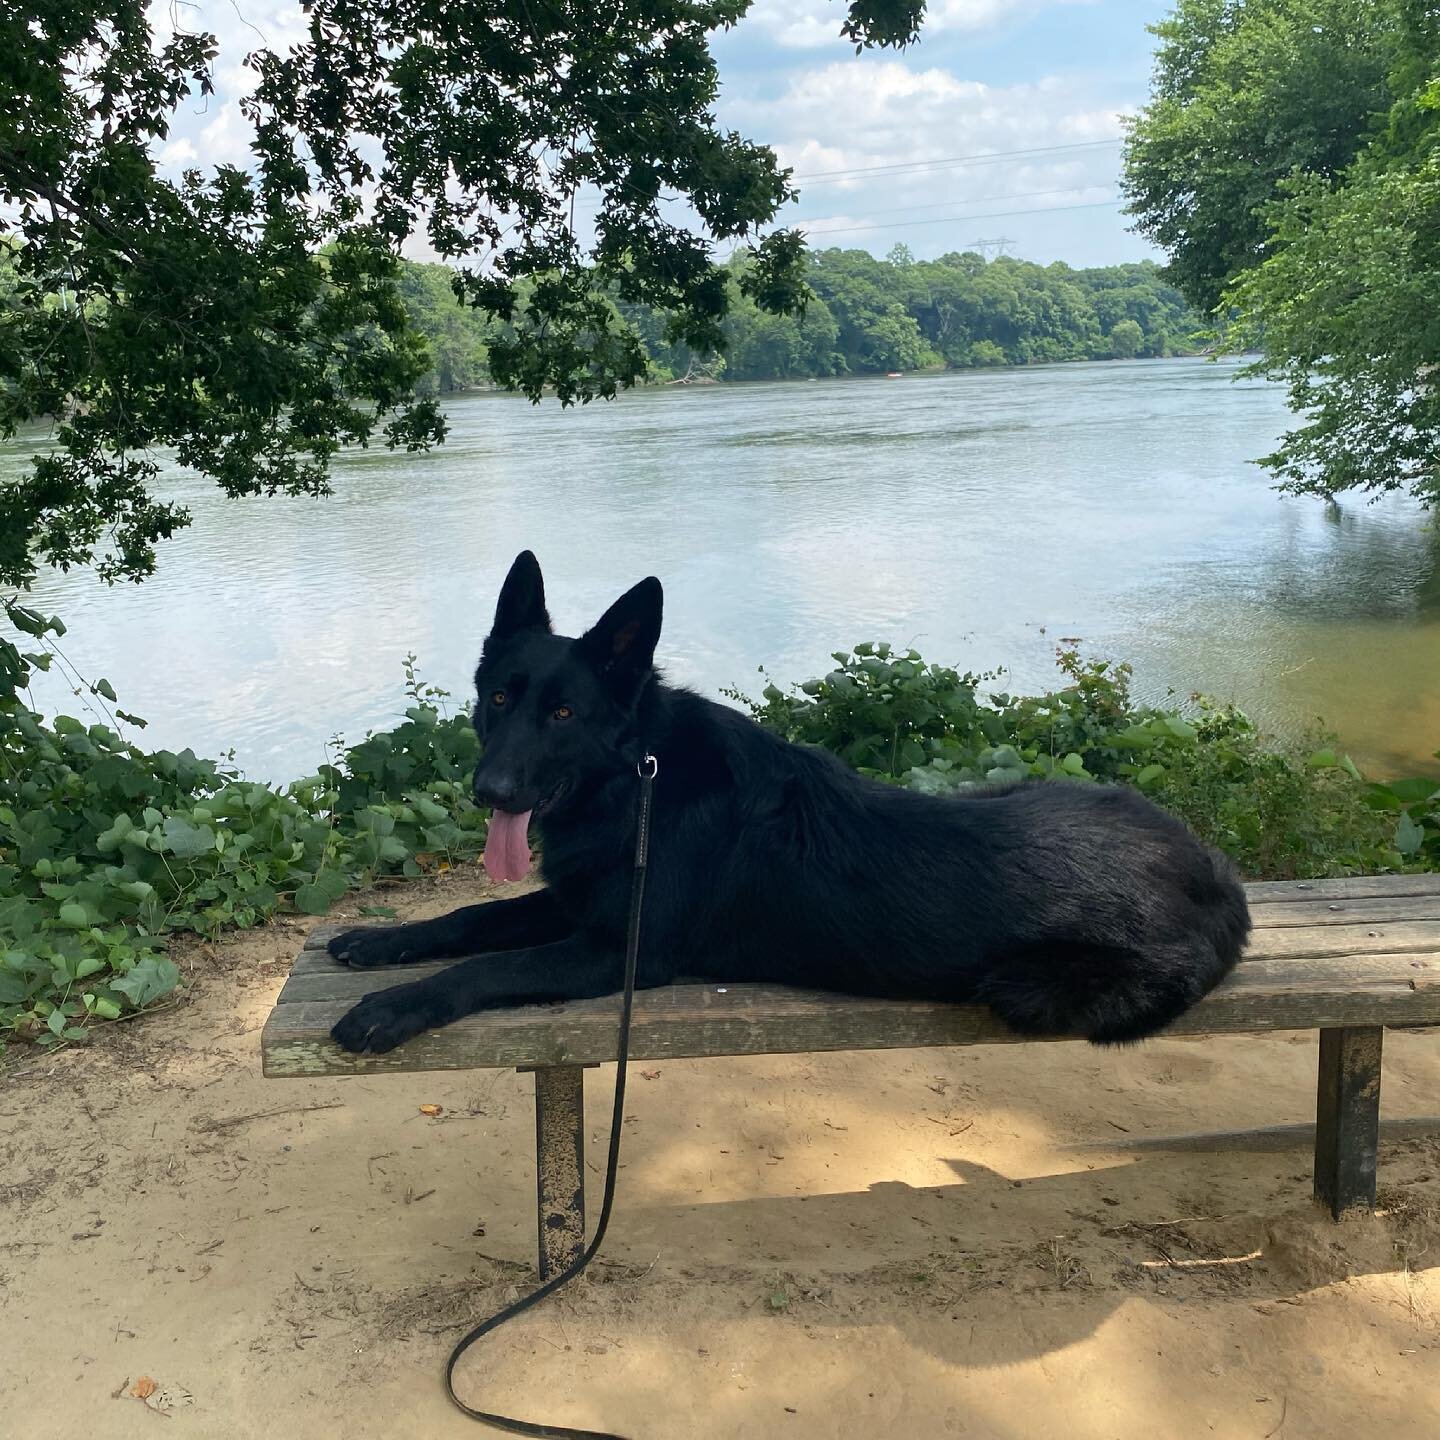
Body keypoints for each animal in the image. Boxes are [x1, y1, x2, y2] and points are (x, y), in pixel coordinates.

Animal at [326, 550, 1249, 1059]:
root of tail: (1218, 873)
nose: (491, 792)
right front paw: (379, 943)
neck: (636, 781)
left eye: (562, 714)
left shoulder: (618, 950)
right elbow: (469, 921)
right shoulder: (574, 904)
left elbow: (489, 965)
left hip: (1022, 985)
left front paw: (393, 1005)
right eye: (499, 699)